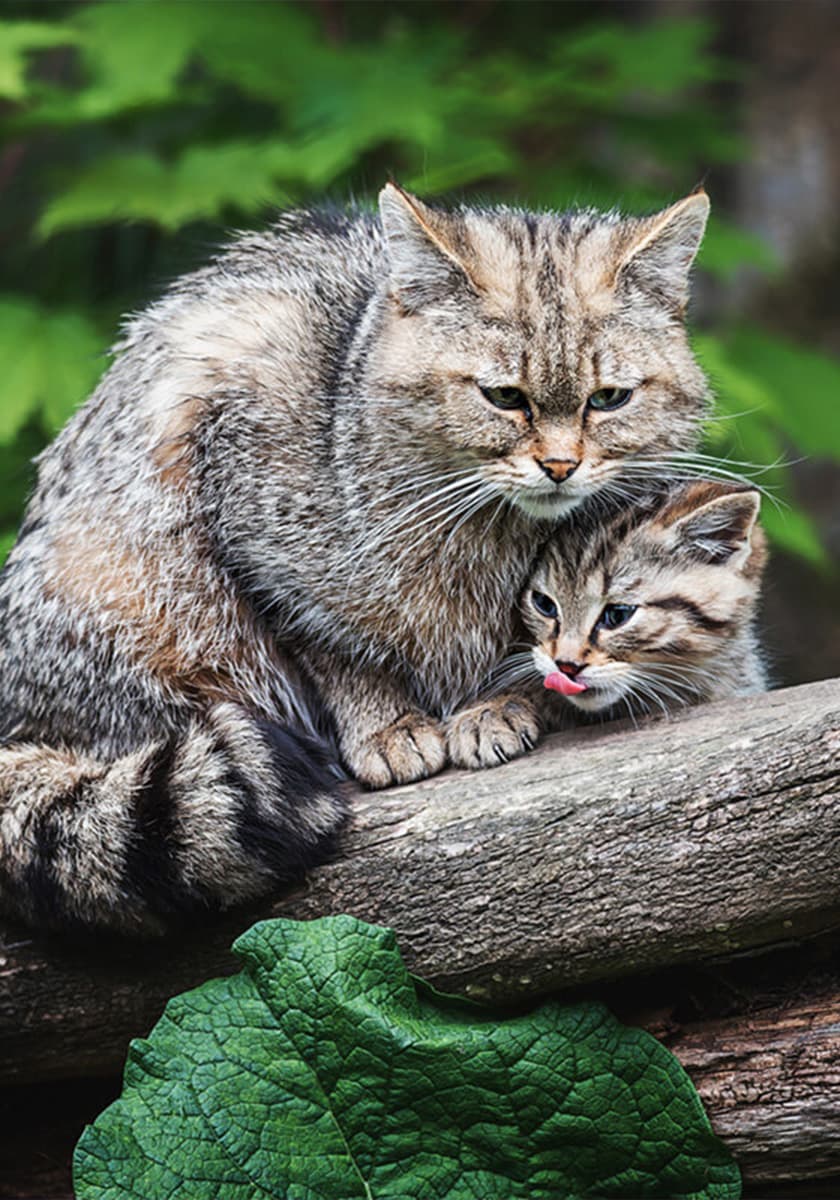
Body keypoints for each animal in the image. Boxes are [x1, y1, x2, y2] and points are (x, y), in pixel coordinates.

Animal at [0, 187, 710, 931]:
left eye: (609, 400)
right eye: (504, 398)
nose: (561, 466)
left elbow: (544, 645)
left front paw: (498, 702)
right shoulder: (256, 540)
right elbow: (337, 649)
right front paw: (386, 722)